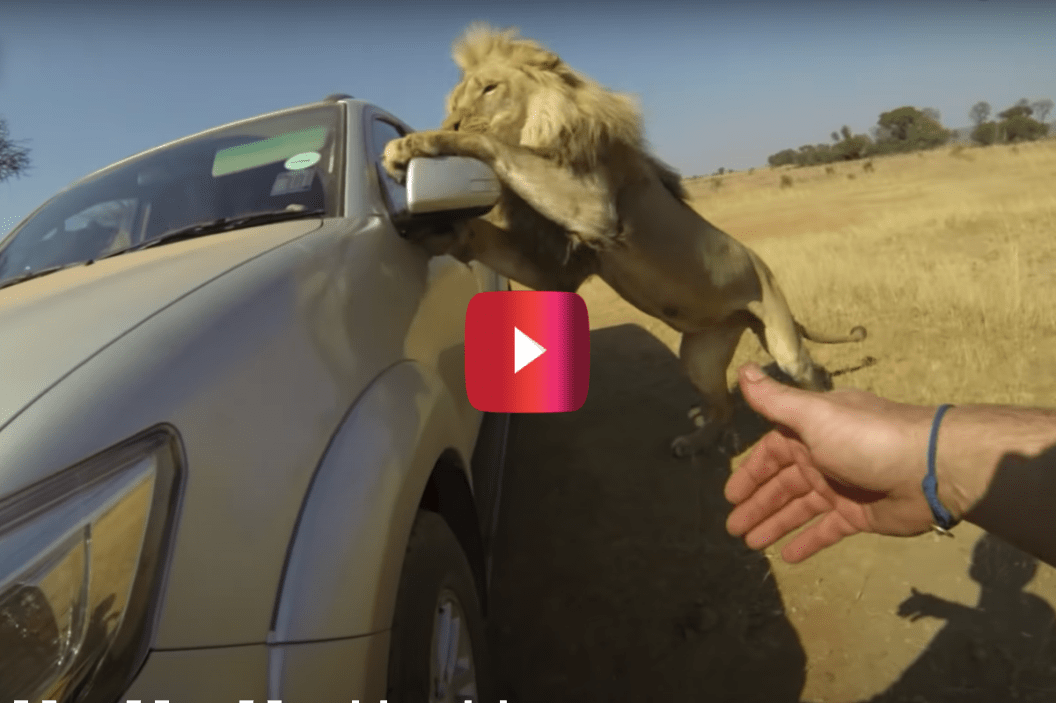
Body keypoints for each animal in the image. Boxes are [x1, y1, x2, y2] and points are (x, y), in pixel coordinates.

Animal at [383, 23, 867, 458]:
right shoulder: (563, 267)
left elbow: (490, 143)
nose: (452, 120)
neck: (547, 131)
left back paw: (823, 415)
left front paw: (414, 144)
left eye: (489, 89)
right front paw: (435, 228)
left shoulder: (593, 208)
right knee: (723, 405)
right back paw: (699, 442)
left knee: (809, 372)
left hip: (779, 333)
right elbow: (483, 236)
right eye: (455, 101)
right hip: (699, 354)